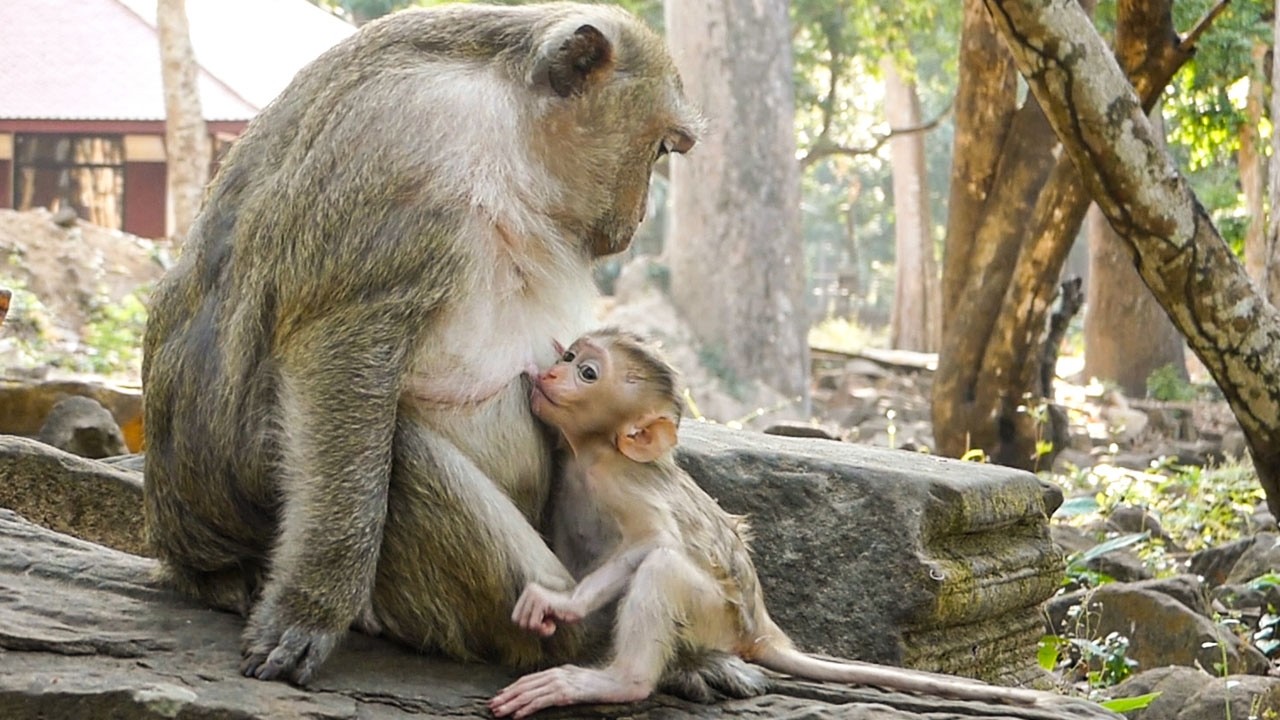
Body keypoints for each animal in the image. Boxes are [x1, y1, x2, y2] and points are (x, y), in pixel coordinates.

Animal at [139, 2, 755, 690]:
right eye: (661, 146)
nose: (641, 213)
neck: (506, 119)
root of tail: (187, 554)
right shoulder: (404, 147)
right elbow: (342, 350)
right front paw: (312, 604)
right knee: (399, 446)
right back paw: (605, 646)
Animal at [489, 329, 1051, 718]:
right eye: (567, 357)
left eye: (587, 372)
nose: (552, 374)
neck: (592, 450)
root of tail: (762, 628)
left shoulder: (618, 480)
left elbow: (652, 541)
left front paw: (561, 603)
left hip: (717, 616)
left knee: (665, 568)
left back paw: (620, 680)